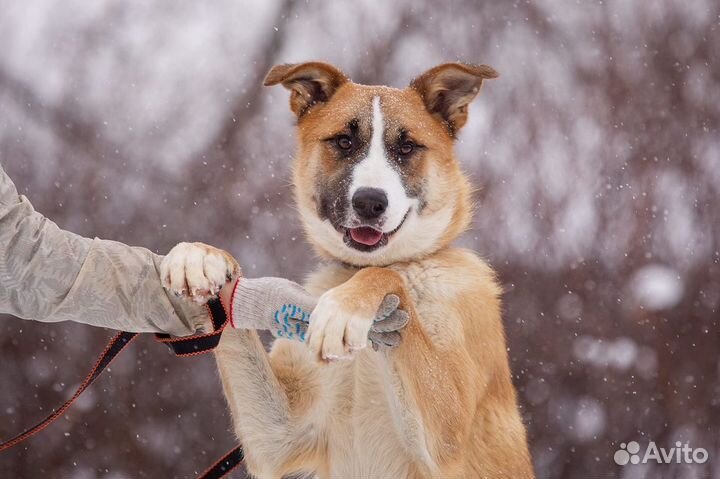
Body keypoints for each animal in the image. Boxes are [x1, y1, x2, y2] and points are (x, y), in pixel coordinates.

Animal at [163, 62, 536, 478]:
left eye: (406, 147)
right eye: (343, 142)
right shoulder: (277, 439)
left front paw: (346, 309)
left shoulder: (448, 436)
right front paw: (200, 258)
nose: (370, 202)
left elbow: (386, 278)